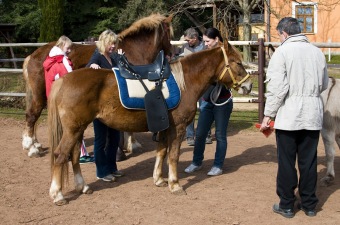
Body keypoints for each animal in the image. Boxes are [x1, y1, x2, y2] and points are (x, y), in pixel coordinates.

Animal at [21, 12, 173, 156]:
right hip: (40, 97)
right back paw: (31, 147)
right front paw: (132, 144)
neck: (134, 50)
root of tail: (32, 56)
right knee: (31, 116)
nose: (172, 52)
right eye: (169, 33)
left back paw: (35, 144)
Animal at [47, 42, 252, 206]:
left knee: (74, 156)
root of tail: (64, 80)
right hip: (73, 130)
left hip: (78, 129)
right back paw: (58, 195)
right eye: (237, 62)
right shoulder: (177, 129)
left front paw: (159, 180)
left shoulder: (163, 127)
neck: (185, 82)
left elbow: (161, 152)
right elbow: (173, 156)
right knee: (60, 155)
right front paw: (175, 185)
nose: (248, 86)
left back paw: (82, 187)